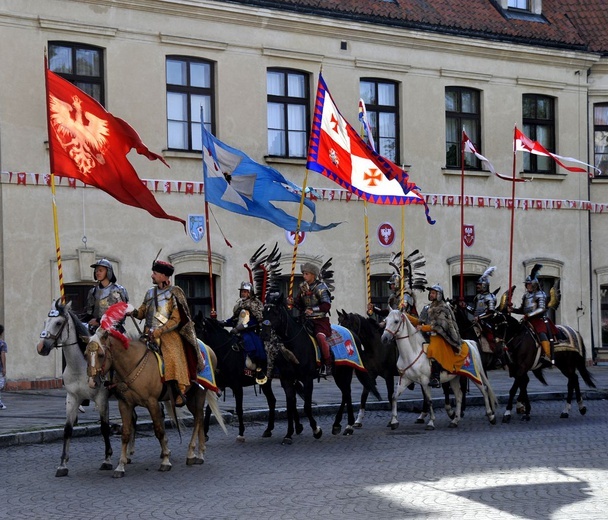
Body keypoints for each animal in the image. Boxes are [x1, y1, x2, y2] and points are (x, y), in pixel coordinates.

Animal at [36, 298, 117, 478]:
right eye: (45, 321)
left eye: (58, 323)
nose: (41, 347)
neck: (80, 367)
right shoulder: (72, 398)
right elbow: (67, 429)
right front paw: (62, 465)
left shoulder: (102, 399)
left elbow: (104, 428)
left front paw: (107, 460)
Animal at [262, 294, 380, 444]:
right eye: (264, 311)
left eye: (276, 312)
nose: (265, 334)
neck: (294, 343)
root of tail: (353, 334)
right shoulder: (287, 380)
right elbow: (290, 407)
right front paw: (288, 435)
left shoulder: (307, 379)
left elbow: (307, 407)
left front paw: (316, 430)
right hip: (338, 374)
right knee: (345, 393)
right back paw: (338, 425)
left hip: (345, 372)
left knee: (347, 393)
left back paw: (347, 426)